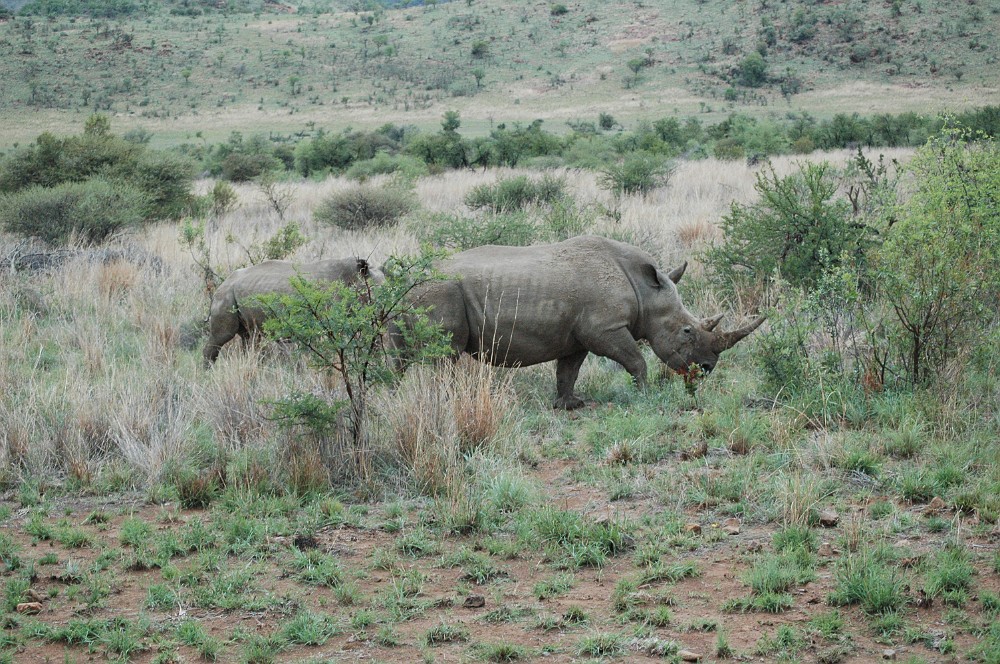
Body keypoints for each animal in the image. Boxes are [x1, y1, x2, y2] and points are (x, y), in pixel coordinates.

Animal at [204, 257, 378, 366]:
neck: (351, 279)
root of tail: (223, 283)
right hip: (225, 295)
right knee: (223, 336)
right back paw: (208, 373)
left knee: (249, 337)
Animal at [407, 236, 764, 409]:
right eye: (687, 331)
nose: (706, 368)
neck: (645, 292)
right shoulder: (604, 328)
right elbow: (635, 359)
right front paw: (645, 394)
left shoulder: (577, 335)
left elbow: (569, 370)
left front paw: (569, 405)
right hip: (440, 290)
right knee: (445, 355)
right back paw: (445, 402)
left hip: (425, 293)